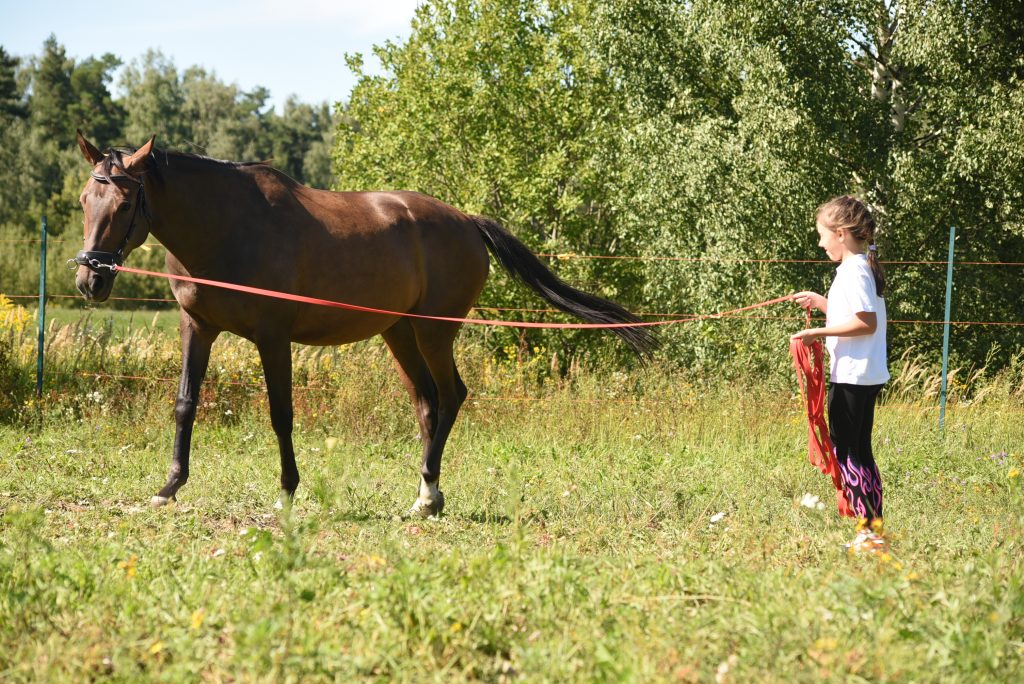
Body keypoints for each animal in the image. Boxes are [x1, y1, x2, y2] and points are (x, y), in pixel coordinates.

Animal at [74, 132, 655, 518]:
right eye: (84, 200)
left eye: (123, 202)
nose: (89, 280)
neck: (228, 227)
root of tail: (468, 222)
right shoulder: (196, 327)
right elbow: (184, 405)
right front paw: (168, 487)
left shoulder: (273, 336)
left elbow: (281, 414)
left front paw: (287, 492)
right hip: (399, 332)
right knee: (428, 403)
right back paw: (426, 495)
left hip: (434, 331)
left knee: (451, 395)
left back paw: (428, 494)